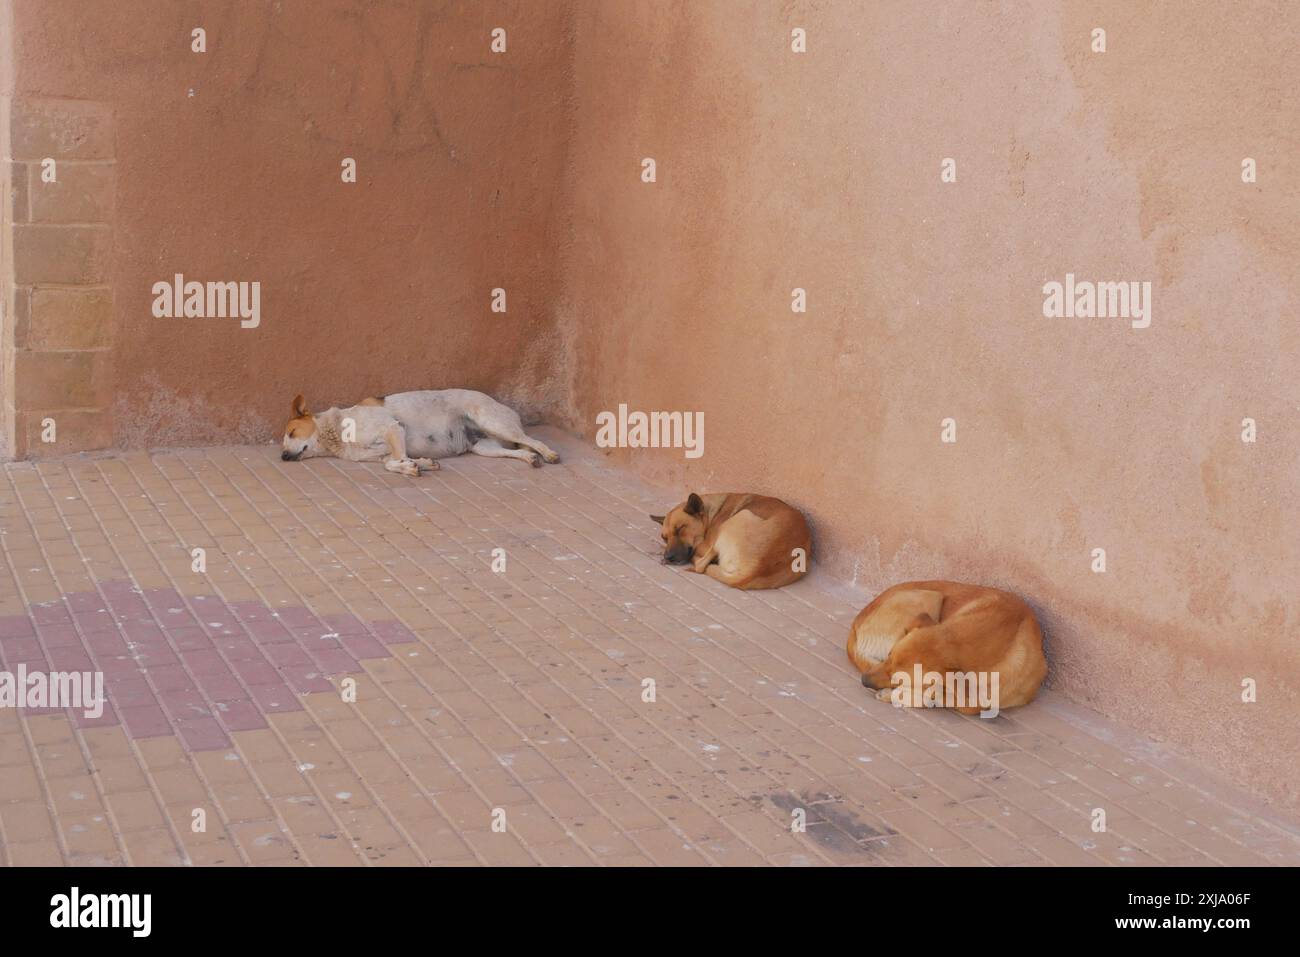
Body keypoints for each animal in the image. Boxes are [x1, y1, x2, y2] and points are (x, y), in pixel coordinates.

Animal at [279, 390, 559, 475]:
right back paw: (530, 459)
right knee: (517, 452)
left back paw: (549, 454)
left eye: (291, 433)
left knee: (532, 439)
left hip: (494, 422)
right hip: (484, 447)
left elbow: (395, 459)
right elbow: (391, 462)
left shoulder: (393, 429)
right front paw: (420, 463)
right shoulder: (384, 452)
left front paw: (413, 465)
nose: (282, 457)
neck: (336, 430)